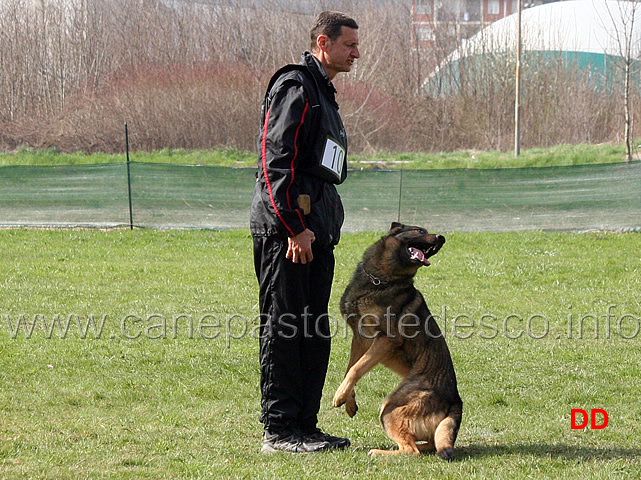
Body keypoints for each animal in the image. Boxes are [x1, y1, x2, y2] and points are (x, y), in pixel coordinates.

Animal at [336, 223, 460, 460]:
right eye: (420, 231)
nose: (442, 238)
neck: (380, 281)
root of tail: (456, 402)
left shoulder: (385, 340)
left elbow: (356, 369)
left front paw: (339, 396)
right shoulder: (360, 338)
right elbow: (350, 369)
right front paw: (348, 399)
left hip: (389, 407)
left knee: (411, 450)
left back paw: (379, 452)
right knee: (430, 444)